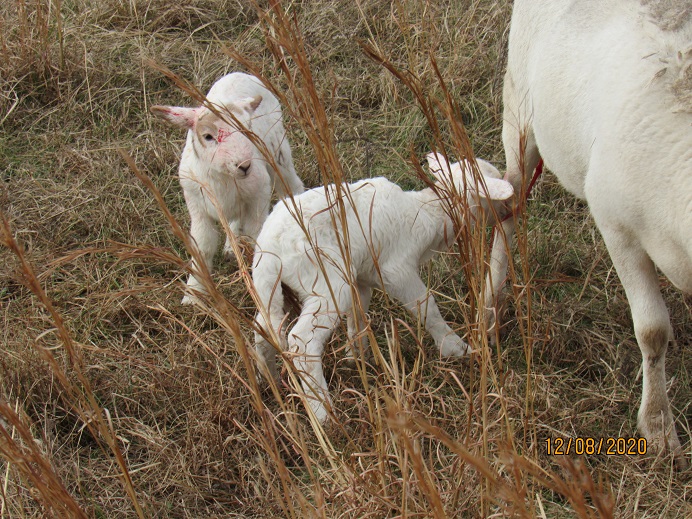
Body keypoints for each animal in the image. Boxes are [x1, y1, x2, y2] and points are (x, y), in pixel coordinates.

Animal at [153, 71, 304, 302]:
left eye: (247, 129)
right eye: (208, 136)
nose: (245, 165)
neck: (222, 180)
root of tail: (239, 73)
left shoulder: (259, 195)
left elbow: (254, 240)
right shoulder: (196, 203)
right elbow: (203, 246)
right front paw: (194, 294)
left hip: (278, 149)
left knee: (291, 184)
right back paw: (230, 247)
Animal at [254, 153, 512, 422]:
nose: (509, 212)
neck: (430, 210)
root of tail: (269, 251)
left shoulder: (361, 280)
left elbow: (358, 318)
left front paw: (356, 357)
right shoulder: (397, 270)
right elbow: (426, 307)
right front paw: (454, 347)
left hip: (272, 289)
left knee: (264, 329)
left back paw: (269, 381)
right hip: (325, 283)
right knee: (302, 342)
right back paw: (322, 412)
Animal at [486, 0, 692, 464]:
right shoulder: (619, 226)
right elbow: (652, 331)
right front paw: (657, 427)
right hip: (520, 106)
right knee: (509, 204)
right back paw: (489, 308)